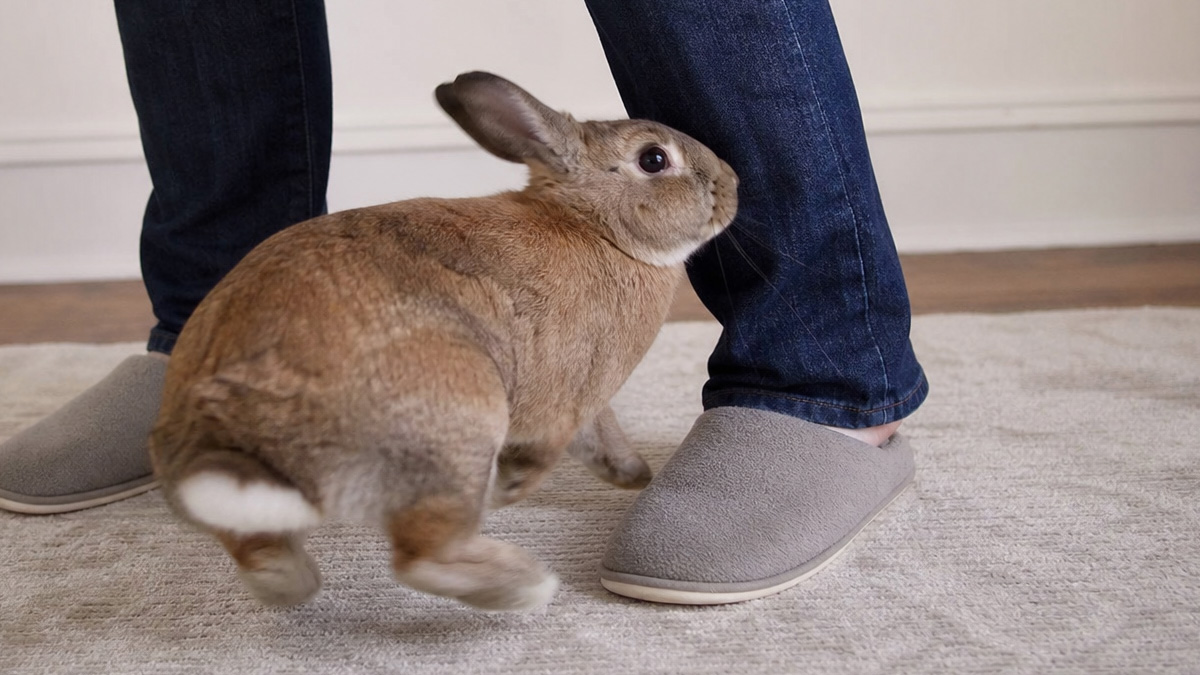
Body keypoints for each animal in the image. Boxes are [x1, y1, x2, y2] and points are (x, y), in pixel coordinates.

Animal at [149, 71, 738, 612]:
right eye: (654, 159)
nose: (732, 184)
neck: (598, 228)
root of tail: (232, 424)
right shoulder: (568, 399)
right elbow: (550, 450)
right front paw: (513, 489)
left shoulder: (593, 399)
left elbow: (605, 433)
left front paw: (634, 476)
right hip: (462, 422)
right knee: (422, 557)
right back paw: (525, 585)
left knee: (258, 549)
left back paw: (289, 583)